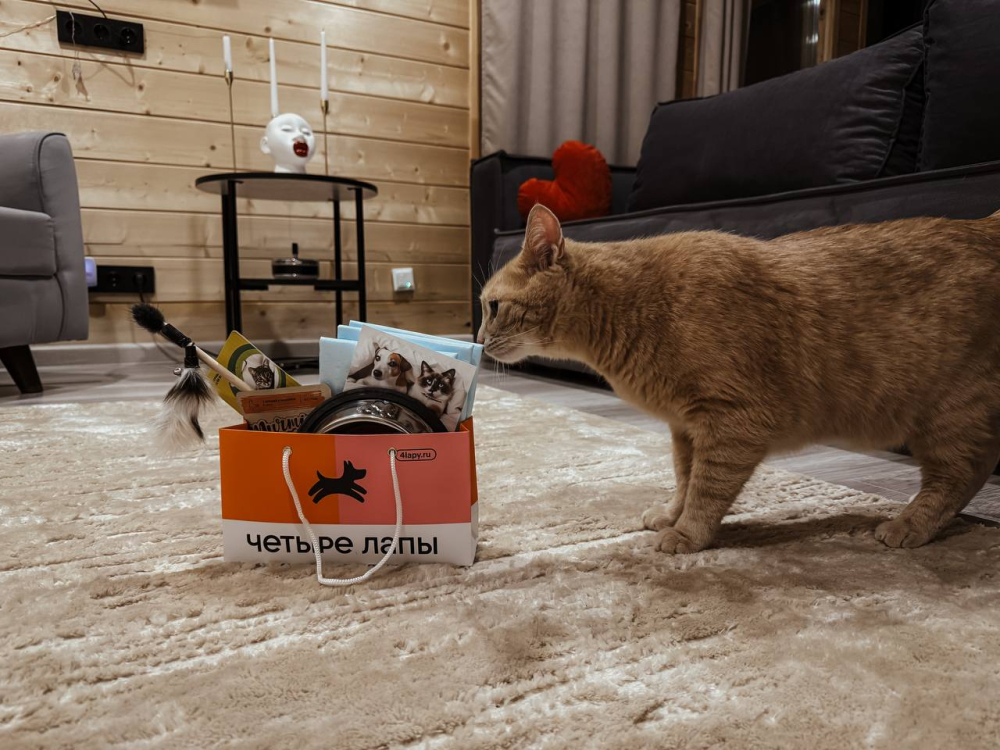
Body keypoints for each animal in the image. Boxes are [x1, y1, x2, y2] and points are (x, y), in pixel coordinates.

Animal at [478, 203, 1000, 555]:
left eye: (493, 306)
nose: (479, 339)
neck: (633, 305)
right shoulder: (686, 427)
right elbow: (685, 479)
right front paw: (672, 514)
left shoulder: (733, 422)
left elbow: (708, 488)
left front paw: (688, 534)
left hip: (951, 412)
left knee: (962, 472)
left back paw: (908, 523)